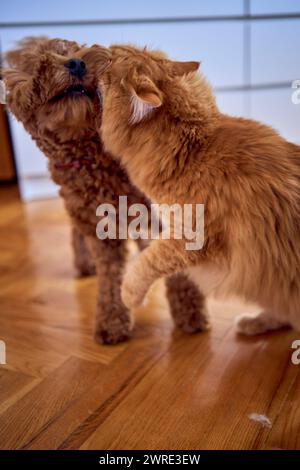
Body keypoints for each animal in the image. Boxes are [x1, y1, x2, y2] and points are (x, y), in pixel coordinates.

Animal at [2, 36, 209, 344]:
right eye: (39, 61)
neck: (90, 155)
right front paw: (111, 322)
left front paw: (190, 313)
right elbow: (110, 278)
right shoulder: (100, 228)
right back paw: (85, 263)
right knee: (78, 233)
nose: (76, 63)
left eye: (77, 49)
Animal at [94, 44, 300, 336]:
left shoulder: (189, 236)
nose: (99, 48)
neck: (191, 148)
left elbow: (145, 262)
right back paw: (252, 323)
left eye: (112, 59)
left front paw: (128, 297)